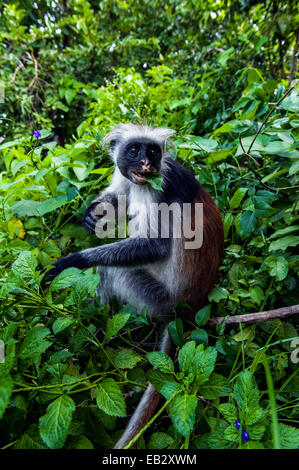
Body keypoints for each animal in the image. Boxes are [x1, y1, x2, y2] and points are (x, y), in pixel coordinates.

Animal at [48, 125, 224, 448]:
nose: (145, 164)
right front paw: (94, 211)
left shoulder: (157, 187)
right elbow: (121, 193)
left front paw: (74, 261)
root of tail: (188, 308)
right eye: (134, 150)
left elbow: (155, 246)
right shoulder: (132, 178)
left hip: (156, 298)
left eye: (152, 151)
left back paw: (95, 333)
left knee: (111, 271)